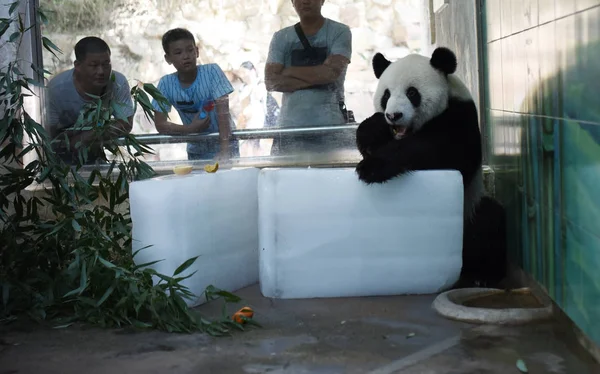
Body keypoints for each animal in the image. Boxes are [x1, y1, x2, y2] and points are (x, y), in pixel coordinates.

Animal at [356, 46, 506, 290]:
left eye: (412, 93)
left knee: (488, 220)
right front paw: (372, 131)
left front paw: (372, 168)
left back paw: (484, 275)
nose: (393, 115)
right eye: (386, 95)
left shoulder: (460, 116)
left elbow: (443, 153)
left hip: (469, 206)